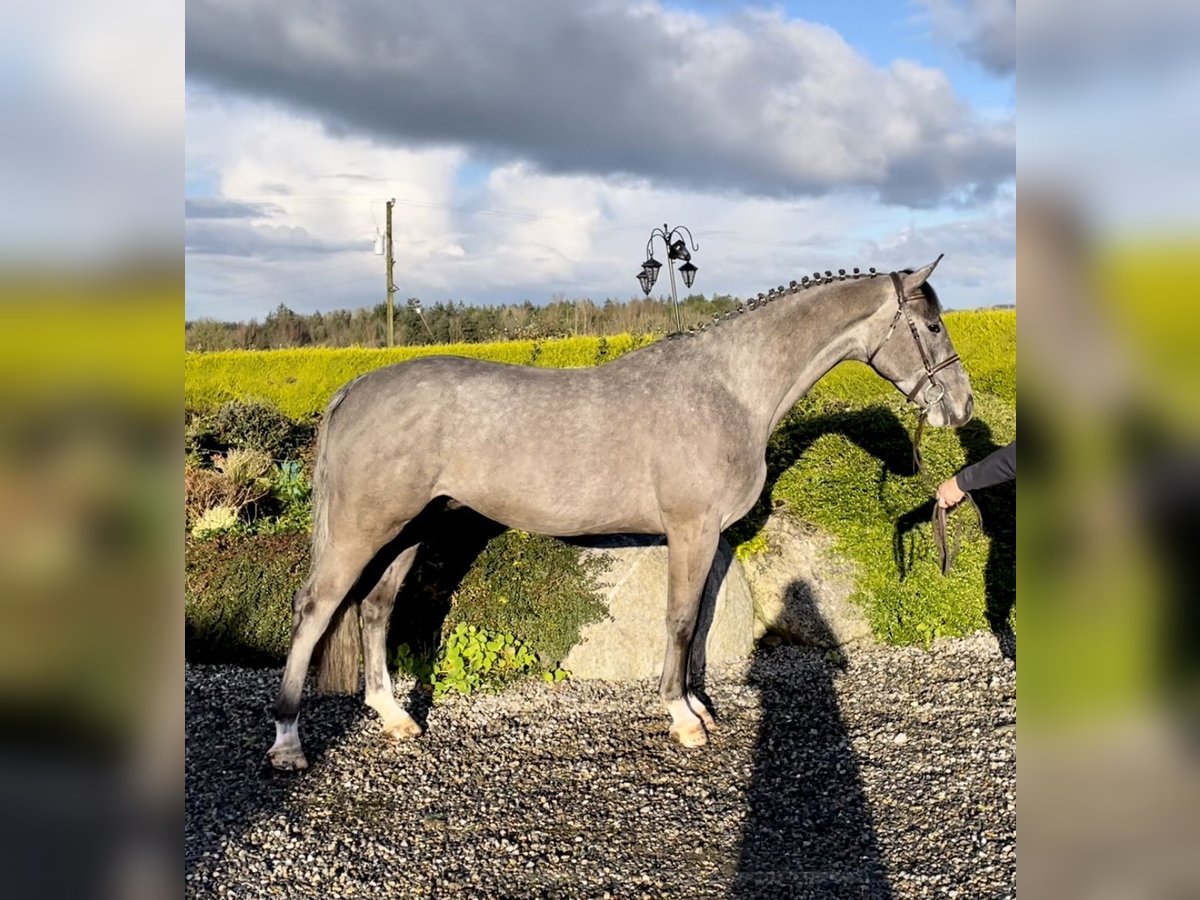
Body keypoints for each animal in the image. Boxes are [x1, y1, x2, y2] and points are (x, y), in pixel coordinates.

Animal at [265, 256, 974, 772]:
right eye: (933, 326)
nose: (961, 407)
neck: (729, 388)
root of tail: (359, 387)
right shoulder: (691, 531)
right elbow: (682, 621)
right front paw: (684, 718)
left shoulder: (704, 539)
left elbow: (699, 622)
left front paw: (696, 706)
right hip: (365, 530)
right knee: (316, 609)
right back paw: (288, 743)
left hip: (413, 528)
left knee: (375, 609)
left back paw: (394, 717)